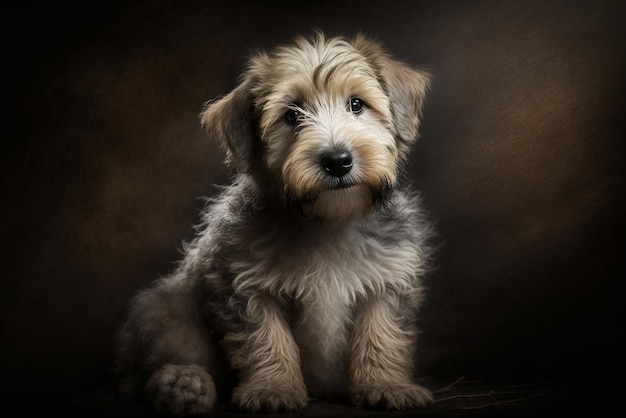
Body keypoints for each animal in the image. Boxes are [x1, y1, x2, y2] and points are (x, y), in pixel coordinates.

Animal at [114, 32, 432, 414]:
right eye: (291, 115)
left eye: (356, 104)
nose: (337, 160)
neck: (327, 221)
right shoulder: (245, 287)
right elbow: (266, 340)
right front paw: (273, 389)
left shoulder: (387, 282)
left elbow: (381, 335)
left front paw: (386, 385)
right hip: (168, 313)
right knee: (162, 363)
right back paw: (183, 386)